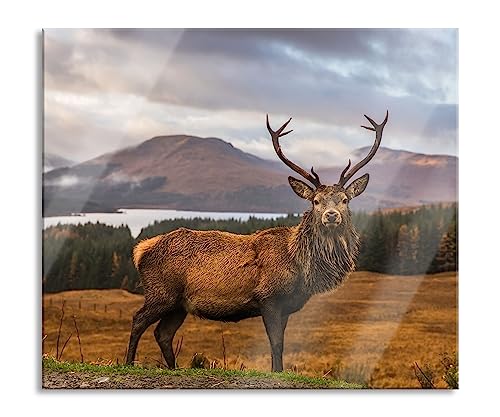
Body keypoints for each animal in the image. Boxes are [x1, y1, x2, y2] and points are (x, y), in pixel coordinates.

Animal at [125, 109, 386, 370]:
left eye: (345, 200)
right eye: (315, 201)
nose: (331, 215)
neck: (300, 266)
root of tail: (141, 250)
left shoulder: (286, 306)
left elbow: (279, 344)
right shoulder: (268, 297)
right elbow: (276, 343)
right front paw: (277, 371)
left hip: (179, 304)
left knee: (163, 333)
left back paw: (174, 367)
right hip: (161, 292)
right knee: (138, 319)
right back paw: (128, 362)